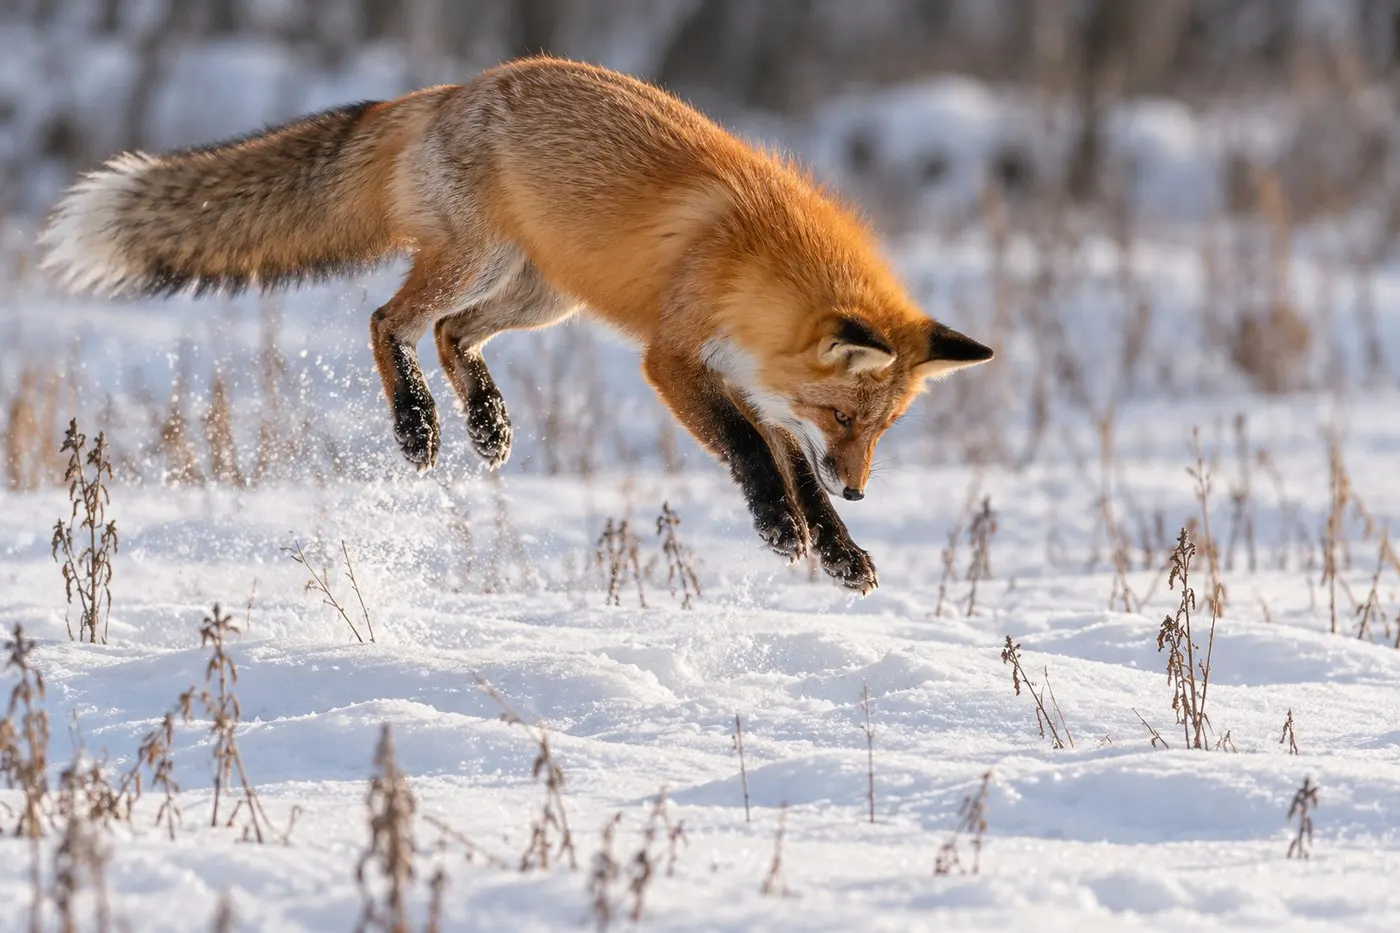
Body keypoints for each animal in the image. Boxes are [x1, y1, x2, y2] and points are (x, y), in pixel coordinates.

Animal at [39, 56, 993, 594]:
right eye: (845, 416)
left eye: (882, 429)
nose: (861, 488)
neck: (757, 259)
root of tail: (446, 91)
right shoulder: (675, 362)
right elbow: (751, 455)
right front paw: (779, 529)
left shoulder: (758, 385)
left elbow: (792, 469)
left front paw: (838, 549)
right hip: (478, 261)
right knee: (389, 320)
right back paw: (418, 424)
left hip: (541, 295)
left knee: (454, 336)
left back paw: (487, 422)